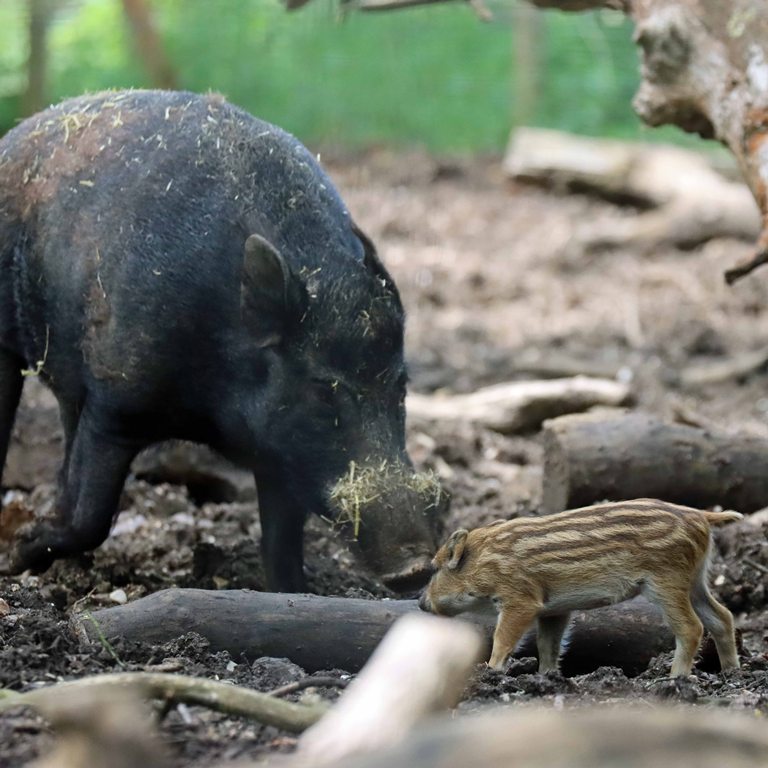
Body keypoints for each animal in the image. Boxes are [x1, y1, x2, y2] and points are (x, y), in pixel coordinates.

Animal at [0, 89, 444, 591]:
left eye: (401, 387)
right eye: (322, 391)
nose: (417, 567)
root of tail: (19, 132)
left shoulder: (277, 454)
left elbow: (281, 546)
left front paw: (294, 592)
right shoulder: (116, 402)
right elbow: (91, 517)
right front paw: (16, 555)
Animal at [419, 499, 741, 677]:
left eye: (434, 569)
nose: (421, 602)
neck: (485, 562)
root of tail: (701, 515)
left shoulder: (521, 599)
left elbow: (504, 638)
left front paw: (492, 671)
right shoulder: (553, 610)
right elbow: (548, 645)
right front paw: (546, 677)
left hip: (667, 581)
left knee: (692, 627)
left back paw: (674, 679)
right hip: (695, 580)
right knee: (722, 616)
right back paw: (730, 671)